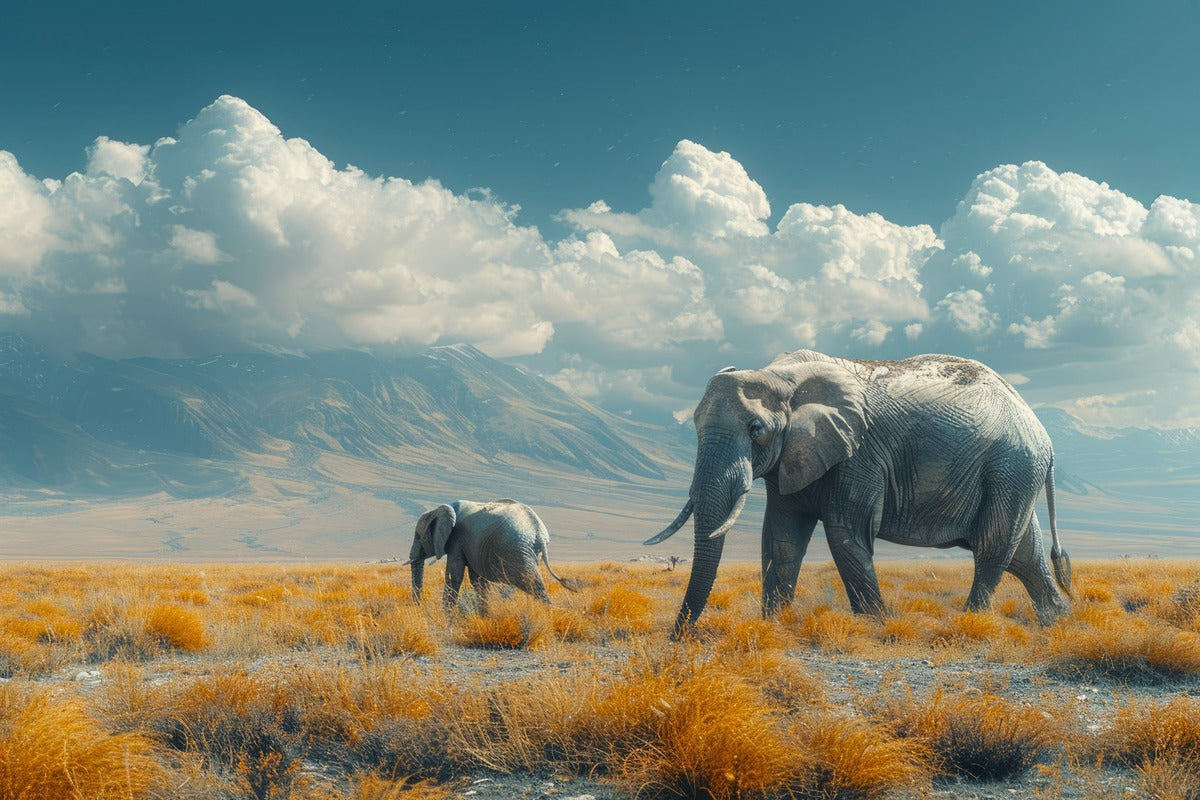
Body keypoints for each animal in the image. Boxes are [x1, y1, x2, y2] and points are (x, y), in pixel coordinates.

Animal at [409, 499, 577, 612]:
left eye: (418, 536)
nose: (419, 608)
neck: (439, 509)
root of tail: (540, 534)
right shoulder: (473, 545)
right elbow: (477, 580)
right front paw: (484, 615)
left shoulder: (456, 540)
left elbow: (454, 576)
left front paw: (448, 618)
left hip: (515, 549)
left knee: (532, 584)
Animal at [647, 349, 1072, 638]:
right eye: (694, 425)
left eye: (756, 429)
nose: (677, 639)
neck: (783, 376)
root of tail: (1044, 435)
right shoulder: (794, 458)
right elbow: (782, 539)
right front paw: (774, 625)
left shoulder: (859, 454)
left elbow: (845, 535)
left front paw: (876, 626)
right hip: (1015, 474)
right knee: (1025, 554)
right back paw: (1060, 621)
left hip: (1010, 469)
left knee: (993, 546)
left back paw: (971, 623)